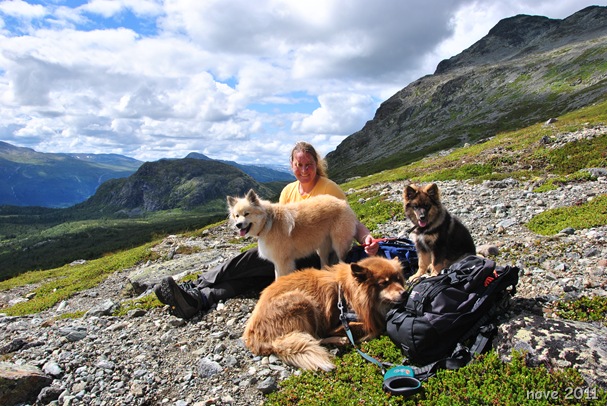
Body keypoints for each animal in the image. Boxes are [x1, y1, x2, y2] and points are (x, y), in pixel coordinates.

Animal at [241, 256, 404, 372]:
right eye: (384, 283)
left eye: (398, 279)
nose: (404, 293)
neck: (347, 292)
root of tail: (253, 338)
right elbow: (372, 326)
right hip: (302, 300)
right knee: (316, 337)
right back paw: (340, 340)